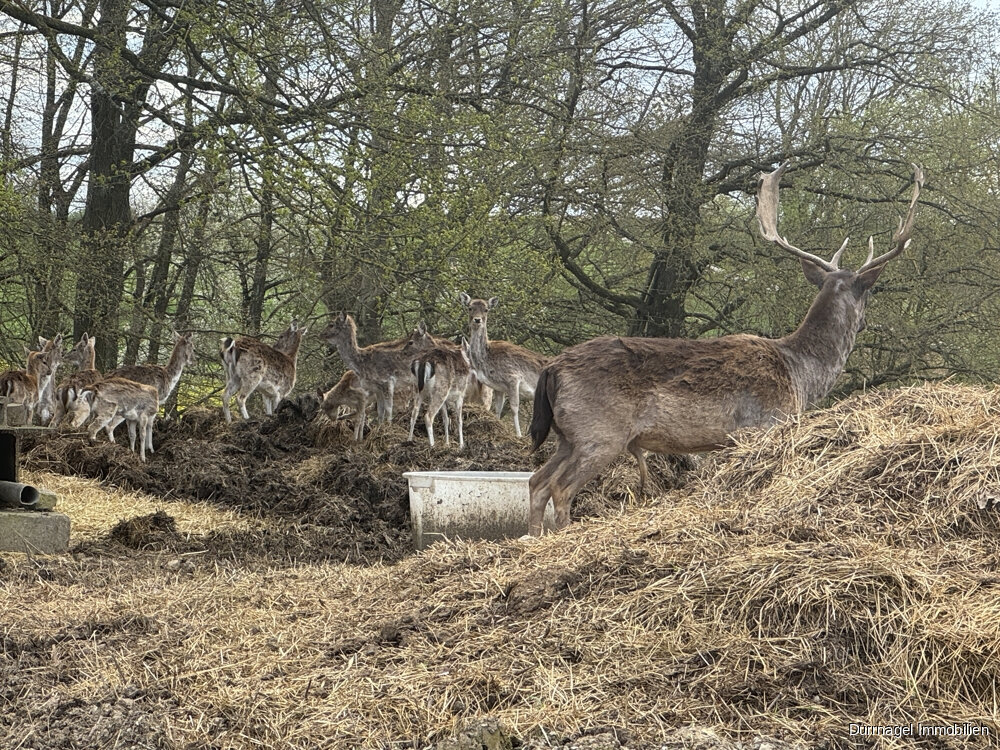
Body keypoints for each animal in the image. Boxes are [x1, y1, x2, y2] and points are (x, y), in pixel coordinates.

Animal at [458, 290, 548, 438]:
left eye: (486, 309)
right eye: (470, 307)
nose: (477, 320)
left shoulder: (513, 377)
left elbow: (514, 407)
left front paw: (518, 435)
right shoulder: (498, 387)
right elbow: (498, 409)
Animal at [528, 167, 924, 536]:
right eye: (869, 293)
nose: (865, 323)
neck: (801, 373)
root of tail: (552, 369)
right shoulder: (763, 423)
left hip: (567, 435)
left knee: (536, 481)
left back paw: (532, 538)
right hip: (599, 432)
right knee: (560, 487)